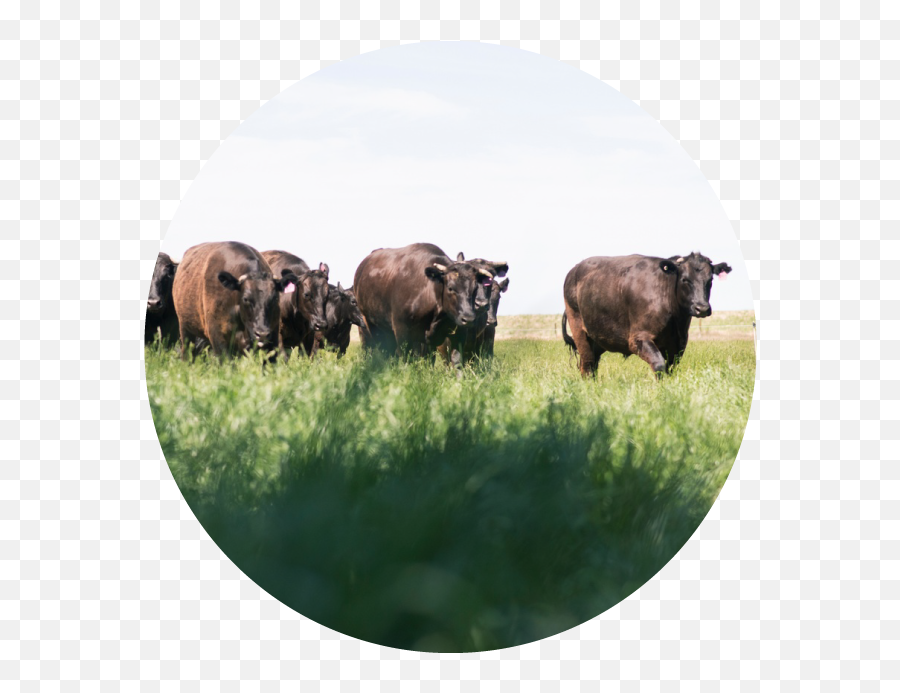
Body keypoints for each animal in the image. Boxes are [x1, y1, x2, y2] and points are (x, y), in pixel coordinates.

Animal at [353, 243, 489, 359]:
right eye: (450, 288)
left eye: (475, 288)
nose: (468, 318)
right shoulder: (401, 330)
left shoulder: (459, 333)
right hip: (372, 324)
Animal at [562, 252, 732, 377]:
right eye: (685, 280)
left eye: (710, 280)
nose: (702, 308)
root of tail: (573, 271)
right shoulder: (638, 338)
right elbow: (659, 365)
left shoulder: (678, 344)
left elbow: (669, 369)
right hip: (580, 331)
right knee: (587, 366)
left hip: (600, 338)